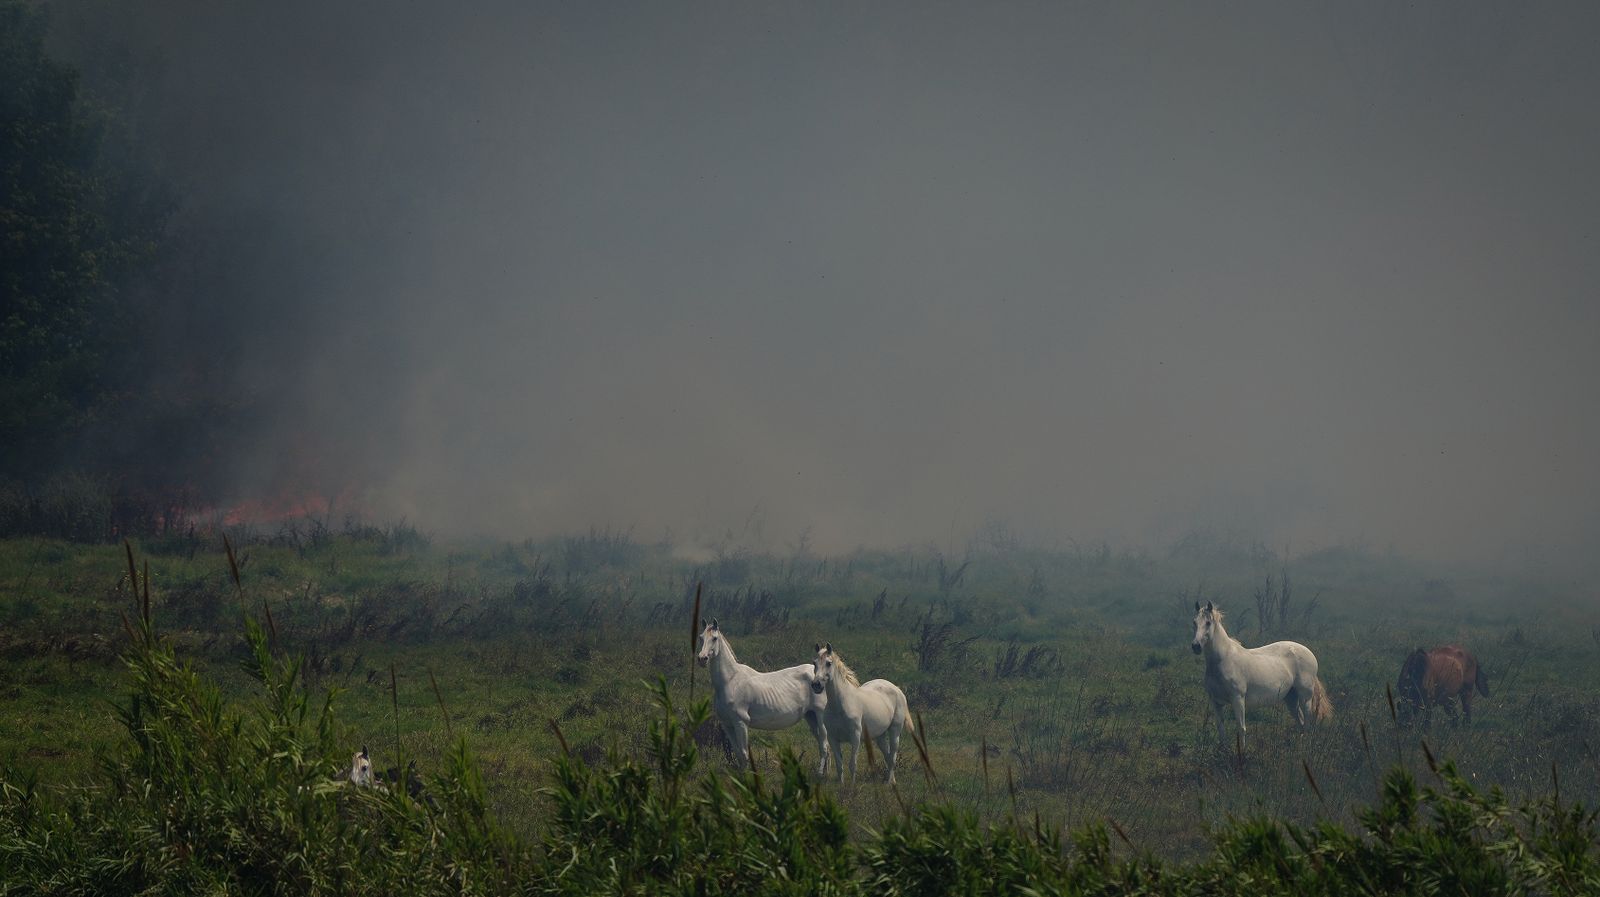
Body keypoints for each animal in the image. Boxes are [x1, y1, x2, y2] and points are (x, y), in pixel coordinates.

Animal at [696, 618, 829, 773]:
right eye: (701, 637)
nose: (702, 659)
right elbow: (737, 753)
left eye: (714, 638)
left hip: (819, 714)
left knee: (824, 745)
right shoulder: (727, 724)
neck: (730, 681)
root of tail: (819, 678)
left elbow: (743, 754)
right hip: (810, 716)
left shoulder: (741, 722)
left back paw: (821, 774)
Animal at [811, 643, 913, 784]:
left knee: (892, 757)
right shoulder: (833, 738)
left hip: (895, 731)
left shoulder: (855, 737)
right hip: (880, 736)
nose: (816, 685)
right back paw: (891, 780)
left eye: (828, 663)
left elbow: (852, 764)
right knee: (887, 756)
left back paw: (888, 783)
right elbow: (839, 764)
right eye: (814, 663)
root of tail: (897, 690)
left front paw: (852, 787)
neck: (840, 704)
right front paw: (841, 785)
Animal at [1190, 601, 1331, 748]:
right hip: (1291, 698)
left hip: (1305, 697)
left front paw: (1242, 752)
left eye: (1208, 623)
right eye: (1194, 622)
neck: (1224, 659)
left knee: (1307, 723)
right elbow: (1220, 727)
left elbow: (1241, 728)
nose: (1196, 646)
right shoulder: (1215, 701)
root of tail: (1309, 653)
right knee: (1301, 722)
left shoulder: (1238, 698)